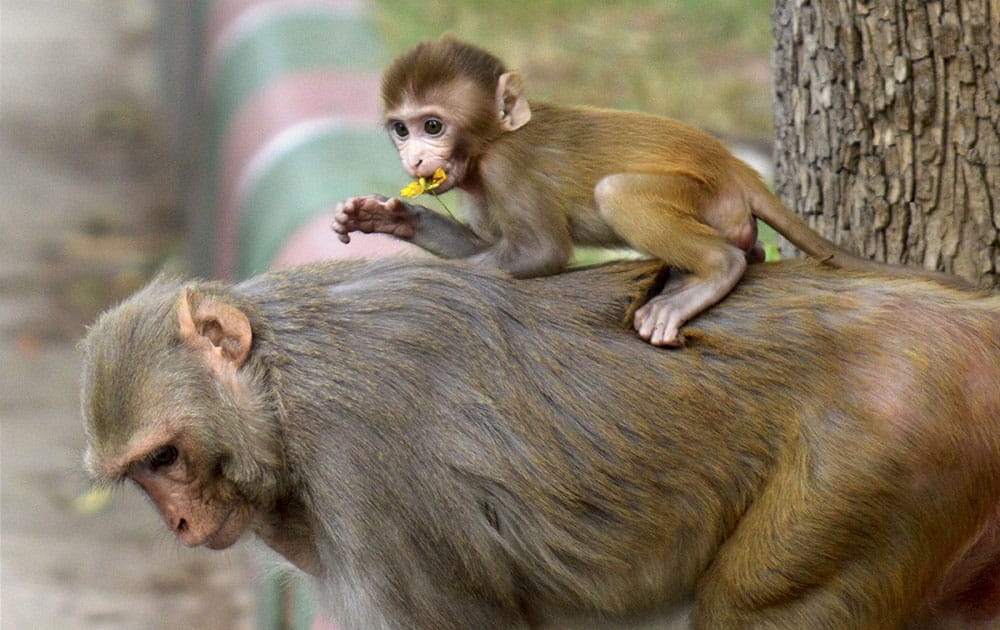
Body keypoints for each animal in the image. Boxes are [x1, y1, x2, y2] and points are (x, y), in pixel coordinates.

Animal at [84, 260, 1000, 628]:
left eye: (165, 459)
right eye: (139, 476)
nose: (179, 523)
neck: (281, 390)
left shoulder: (366, 478)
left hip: (882, 462)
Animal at [334, 37, 968, 348]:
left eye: (432, 125)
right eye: (401, 129)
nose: (414, 157)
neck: (489, 145)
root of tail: (739, 169)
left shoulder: (509, 170)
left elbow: (541, 254)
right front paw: (388, 217)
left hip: (705, 195)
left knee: (623, 194)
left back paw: (712, 272)